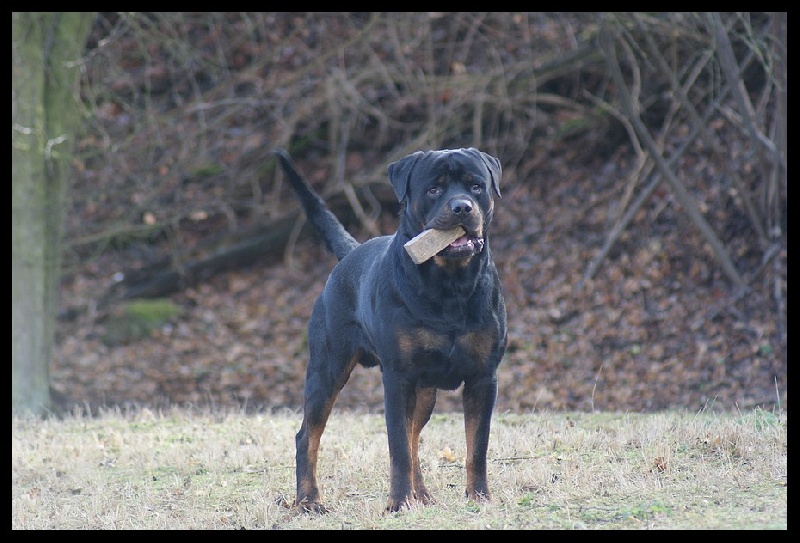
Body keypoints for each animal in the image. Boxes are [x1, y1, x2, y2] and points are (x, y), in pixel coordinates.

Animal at [274, 147, 507, 513]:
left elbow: (476, 447)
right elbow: (397, 446)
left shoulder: (483, 377)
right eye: (434, 189)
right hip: (327, 370)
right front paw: (397, 503)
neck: (450, 285)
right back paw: (309, 499)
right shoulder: (398, 377)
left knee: (414, 436)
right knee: (307, 435)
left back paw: (421, 494)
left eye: (476, 186)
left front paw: (480, 497)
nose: (462, 207)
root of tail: (352, 251)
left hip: (424, 390)